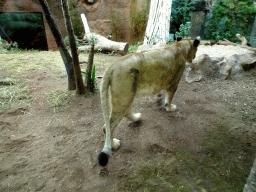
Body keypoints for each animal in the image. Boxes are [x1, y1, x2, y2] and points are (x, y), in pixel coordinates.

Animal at [97, 36, 200, 166]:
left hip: (128, 94)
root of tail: (112, 66)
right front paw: (169, 107)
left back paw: (137, 117)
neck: (180, 46)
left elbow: (161, 94)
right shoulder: (174, 83)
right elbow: (169, 97)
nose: (193, 58)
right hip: (123, 96)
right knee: (109, 126)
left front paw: (159, 101)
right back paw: (114, 144)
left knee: (126, 112)